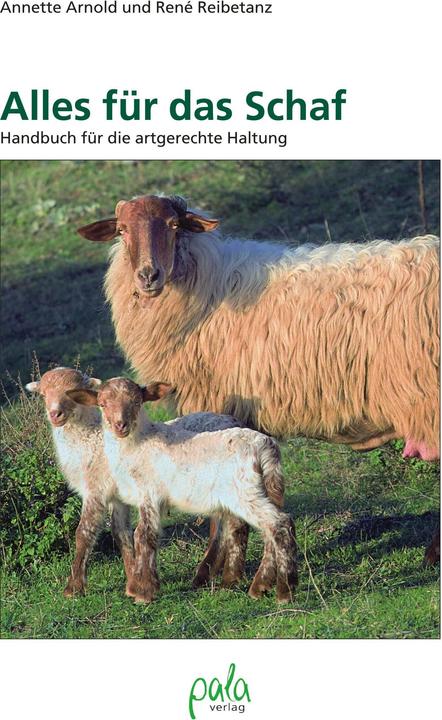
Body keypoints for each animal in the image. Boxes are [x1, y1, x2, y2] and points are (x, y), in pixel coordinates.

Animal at [68, 377, 298, 604]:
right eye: (102, 404)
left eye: (136, 401)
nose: (120, 425)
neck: (138, 444)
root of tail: (266, 447)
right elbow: (140, 536)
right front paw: (146, 586)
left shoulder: (149, 493)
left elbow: (143, 535)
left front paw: (143, 592)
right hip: (266, 489)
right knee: (270, 528)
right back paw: (262, 585)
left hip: (245, 493)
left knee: (279, 524)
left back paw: (283, 591)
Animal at [77, 194, 440, 567]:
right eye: (122, 230)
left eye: (174, 225)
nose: (148, 275)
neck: (208, 288)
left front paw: (216, 565)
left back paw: (431, 554)